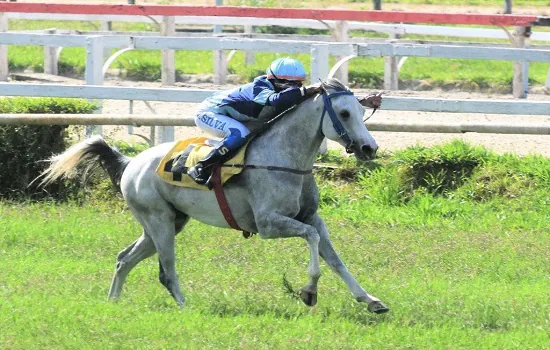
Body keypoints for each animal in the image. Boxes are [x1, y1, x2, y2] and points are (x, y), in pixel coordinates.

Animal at [38, 79, 390, 314]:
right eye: (343, 113)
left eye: (360, 109)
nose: (369, 148)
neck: (283, 158)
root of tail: (130, 162)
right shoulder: (269, 224)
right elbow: (313, 242)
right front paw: (308, 292)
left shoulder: (310, 216)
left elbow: (334, 257)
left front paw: (370, 300)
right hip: (159, 221)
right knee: (167, 269)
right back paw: (185, 306)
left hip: (166, 223)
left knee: (124, 258)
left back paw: (113, 302)